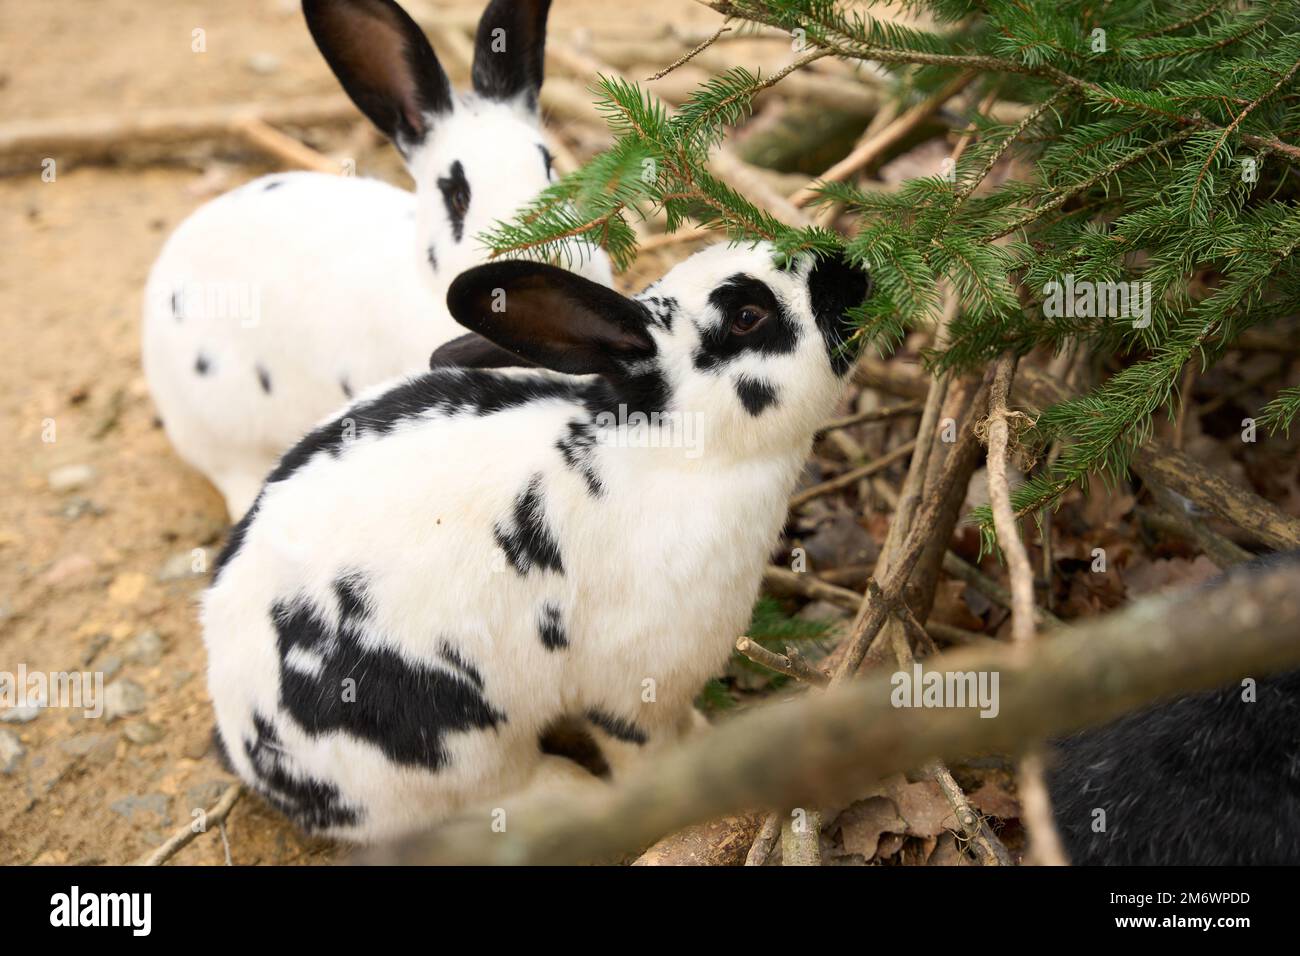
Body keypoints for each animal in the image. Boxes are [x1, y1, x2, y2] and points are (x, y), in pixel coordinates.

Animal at [200, 241, 871, 842]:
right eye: (747, 316)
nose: (855, 271)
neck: (674, 449)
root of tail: (243, 742)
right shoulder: (630, 685)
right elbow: (646, 754)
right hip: (451, 750)